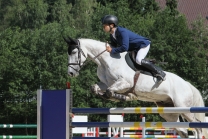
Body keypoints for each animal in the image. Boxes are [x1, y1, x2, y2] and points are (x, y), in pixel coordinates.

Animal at [64, 36, 207, 138]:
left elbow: (110, 91)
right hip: (169, 112)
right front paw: (121, 97)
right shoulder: (105, 83)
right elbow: (95, 88)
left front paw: (123, 97)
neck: (106, 61)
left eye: (74, 51)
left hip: (183, 107)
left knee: (198, 127)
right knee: (183, 131)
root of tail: (187, 84)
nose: (70, 73)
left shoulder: (125, 83)